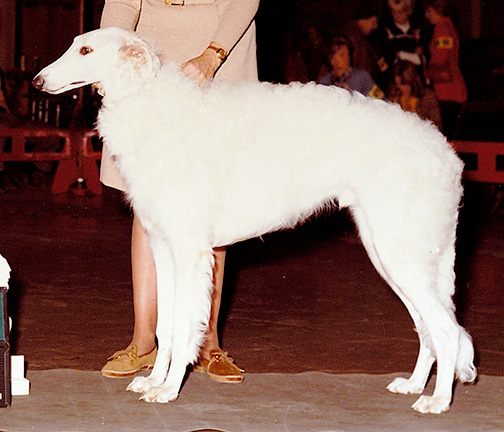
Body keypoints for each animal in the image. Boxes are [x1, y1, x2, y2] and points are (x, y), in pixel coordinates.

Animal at [33, 27, 474, 412]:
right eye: (75, 45)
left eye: (85, 50)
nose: (37, 81)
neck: (151, 99)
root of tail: (446, 154)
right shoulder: (163, 246)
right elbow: (165, 327)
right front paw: (154, 381)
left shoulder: (191, 251)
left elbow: (182, 326)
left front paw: (169, 390)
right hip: (391, 252)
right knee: (430, 328)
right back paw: (414, 385)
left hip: (402, 252)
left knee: (447, 330)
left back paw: (437, 402)